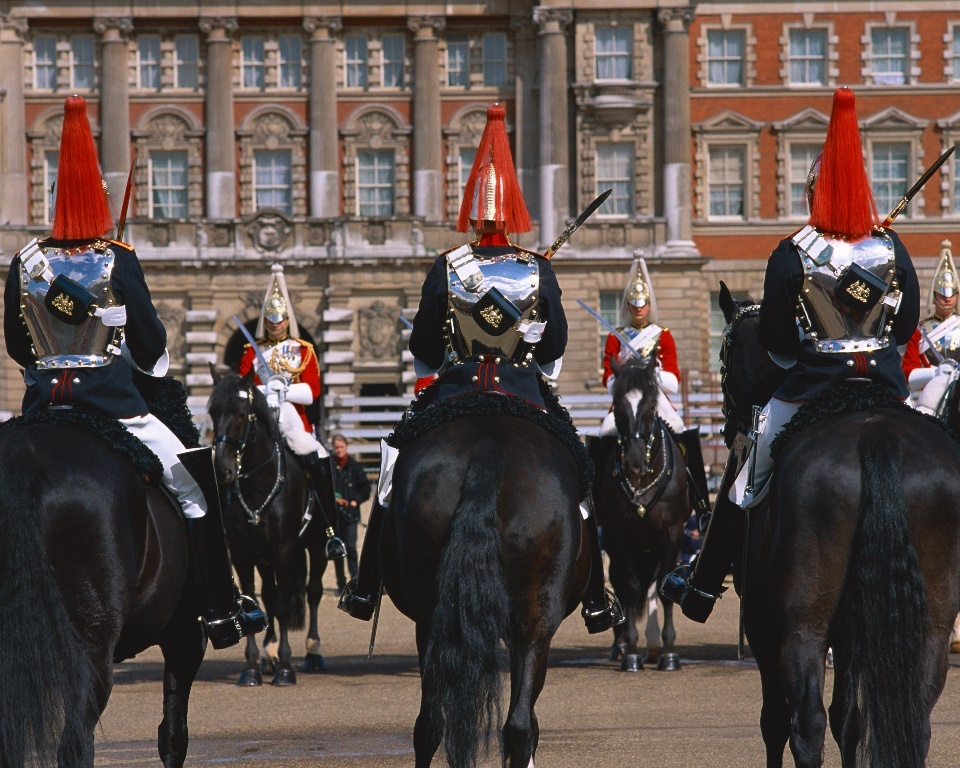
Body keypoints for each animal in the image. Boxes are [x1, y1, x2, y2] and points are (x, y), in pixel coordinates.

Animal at [206, 372, 326, 684]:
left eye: (241, 413)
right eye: (212, 413)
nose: (222, 469)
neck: (258, 484)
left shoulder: (285, 548)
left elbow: (284, 604)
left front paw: (285, 666)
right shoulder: (242, 551)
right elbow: (256, 602)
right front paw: (251, 666)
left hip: (316, 546)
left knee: (313, 591)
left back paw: (312, 652)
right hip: (265, 557)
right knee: (271, 596)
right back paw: (268, 656)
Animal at [600, 356, 688, 672]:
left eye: (651, 406)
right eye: (617, 405)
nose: (634, 462)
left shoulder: (672, 533)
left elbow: (664, 586)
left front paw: (669, 651)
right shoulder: (621, 535)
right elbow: (630, 585)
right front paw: (631, 651)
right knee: (622, 582)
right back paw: (623, 644)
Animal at [720, 284, 960, 768]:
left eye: (723, 353)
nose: (729, 426)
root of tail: (875, 433)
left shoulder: (761, 620)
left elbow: (776, 720)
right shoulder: (855, 629)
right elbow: (849, 719)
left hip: (803, 625)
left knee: (805, 724)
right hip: (931, 624)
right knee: (917, 720)